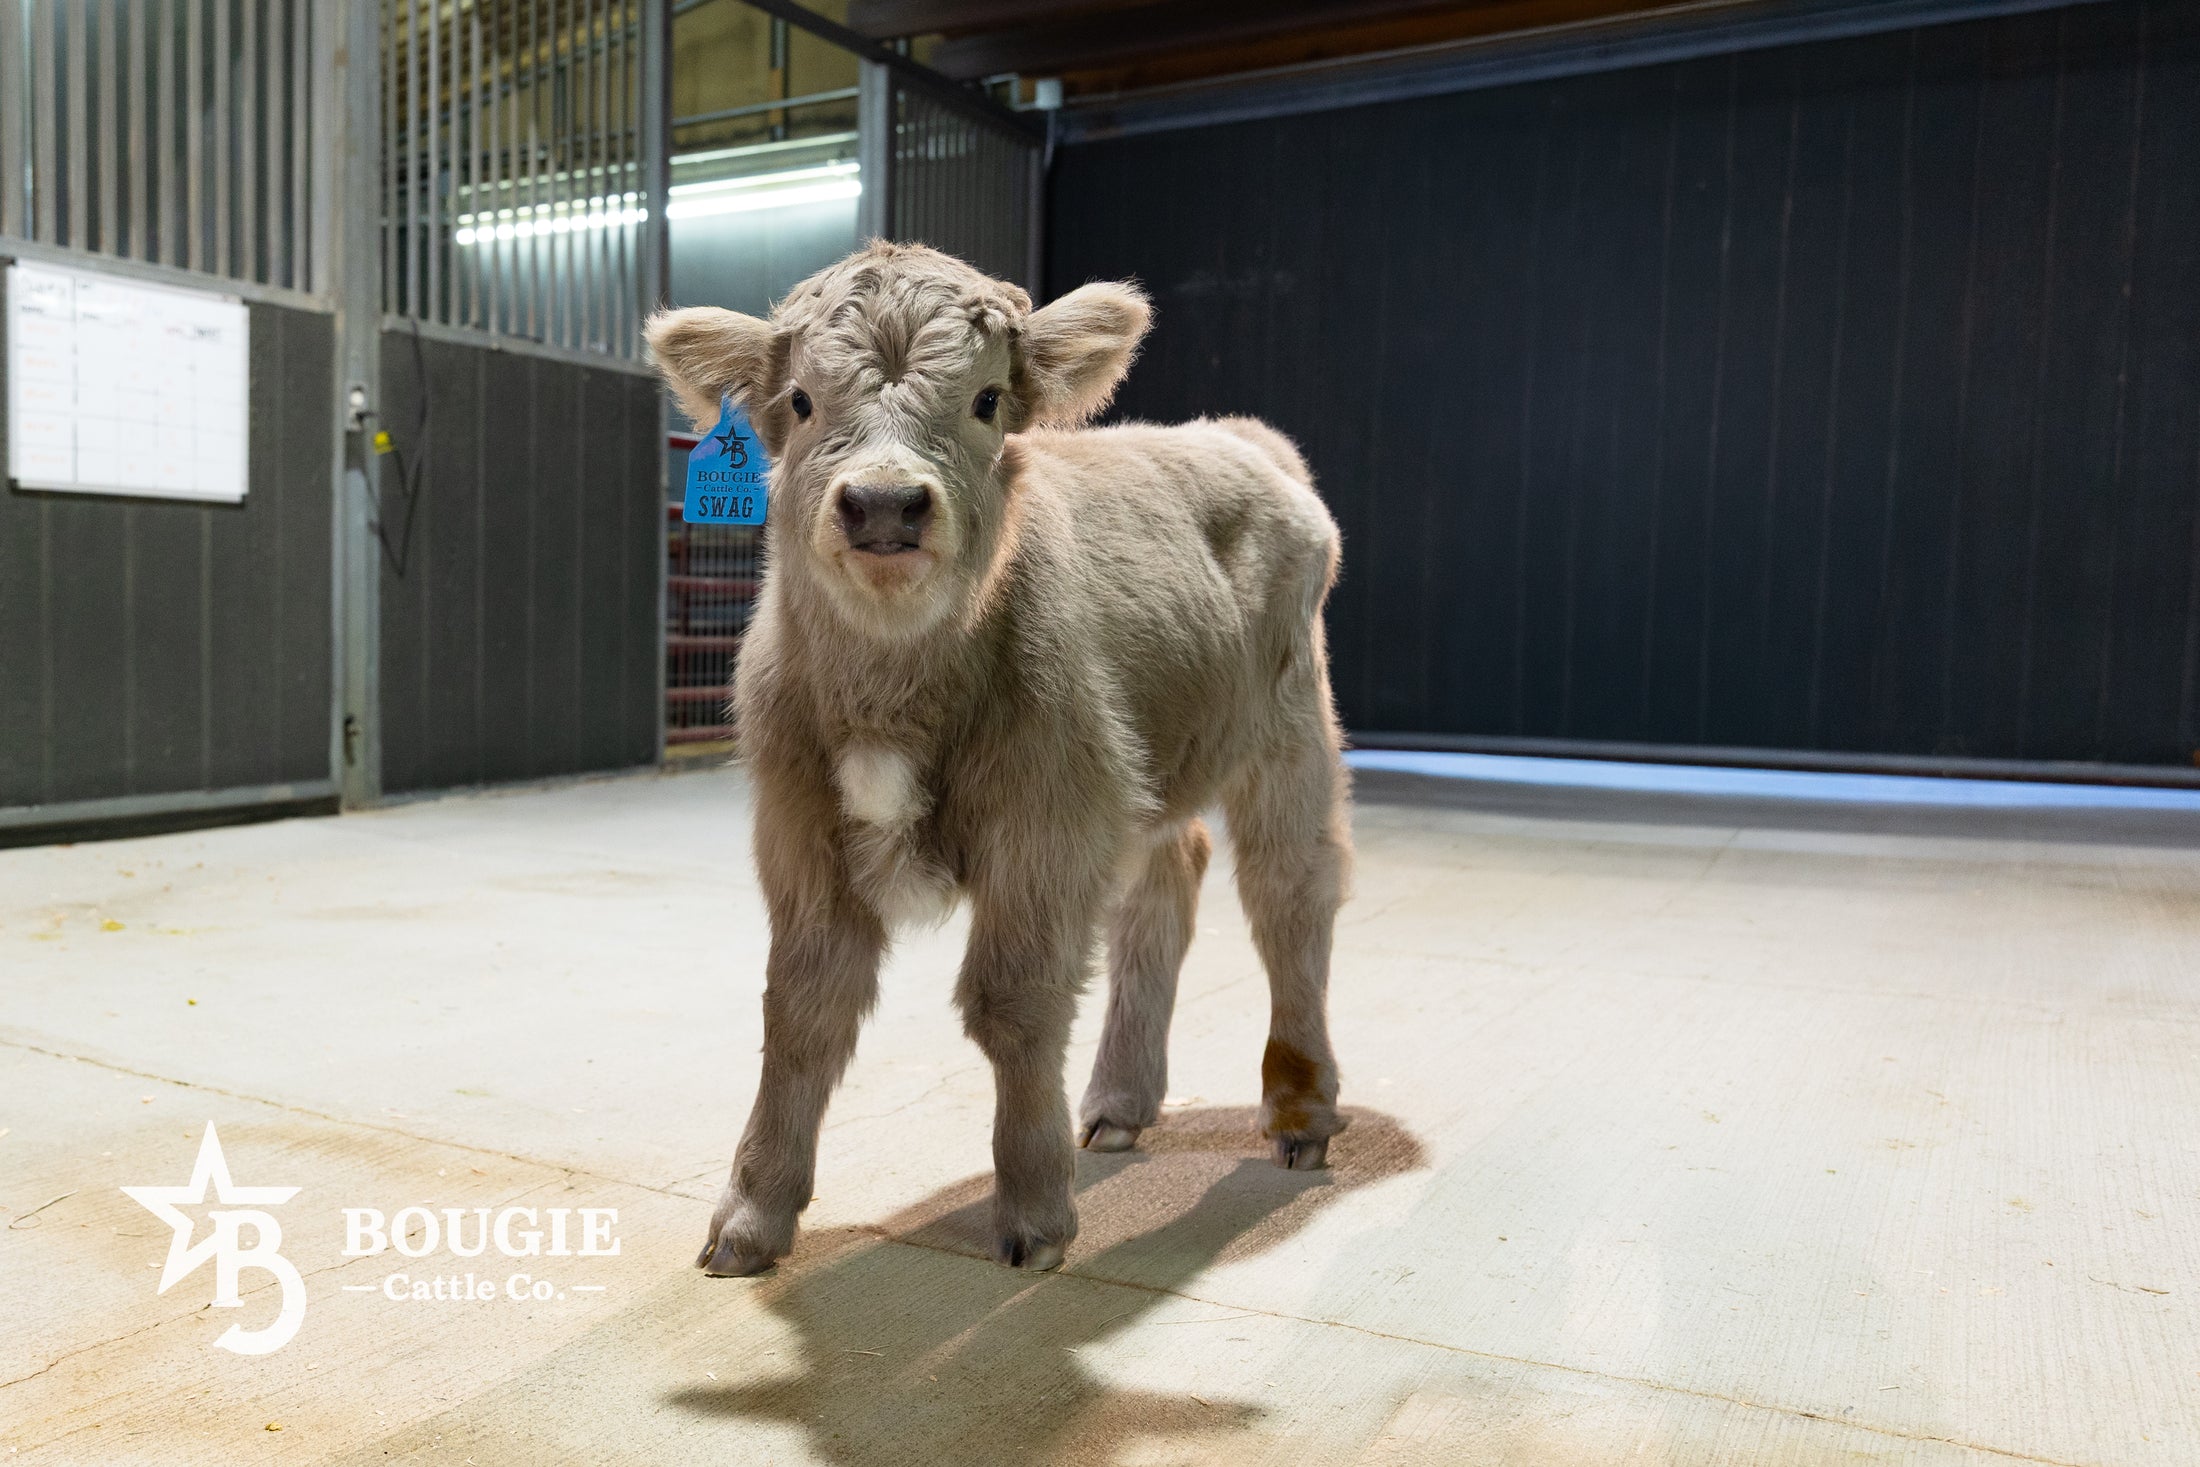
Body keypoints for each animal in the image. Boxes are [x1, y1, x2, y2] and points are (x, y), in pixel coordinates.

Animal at [647, 242, 1350, 1276]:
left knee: (1289, 896)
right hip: (1146, 763)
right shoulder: (798, 829)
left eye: (985, 400)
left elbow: (1012, 1002)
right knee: (1167, 882)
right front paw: (751, 1214)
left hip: (1289, 732)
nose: (885, 504)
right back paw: (1119, 1102)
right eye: (803, 400)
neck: (893, 687)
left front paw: (1035, 1208)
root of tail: (1238, 438)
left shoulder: (1046, 824)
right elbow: (802, 1006)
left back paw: (1300, 1108)